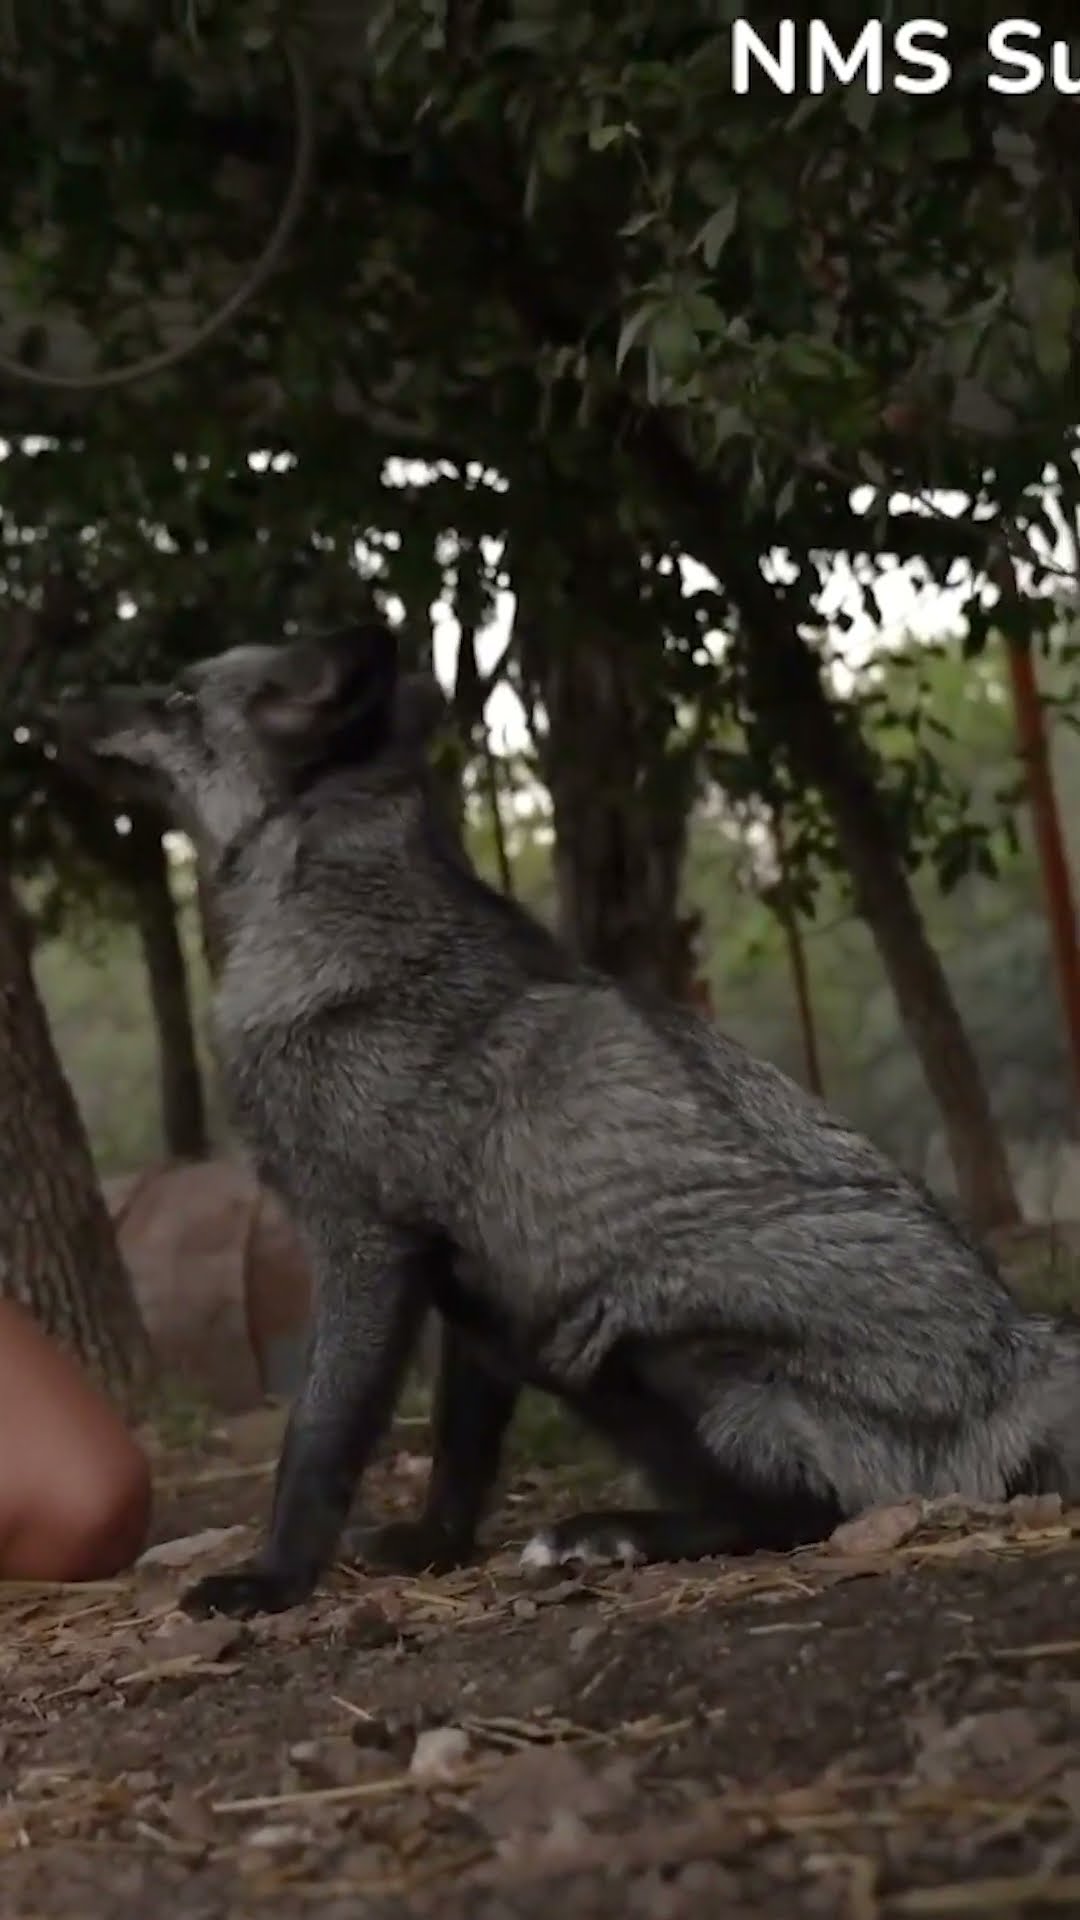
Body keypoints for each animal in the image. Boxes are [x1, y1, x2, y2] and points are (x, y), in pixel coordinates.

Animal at [60, 620, 1080, 1616]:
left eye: (178, 696)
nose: (63, 702)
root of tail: (1021, 1357)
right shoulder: (466, 1281)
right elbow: (460, 1448)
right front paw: (433, 1548)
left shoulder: (366, 1245)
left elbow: (316, 1440)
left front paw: (271, 1581)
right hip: (541, 1322)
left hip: (625, 1328)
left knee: (806, 1510)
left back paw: (614, 1534)